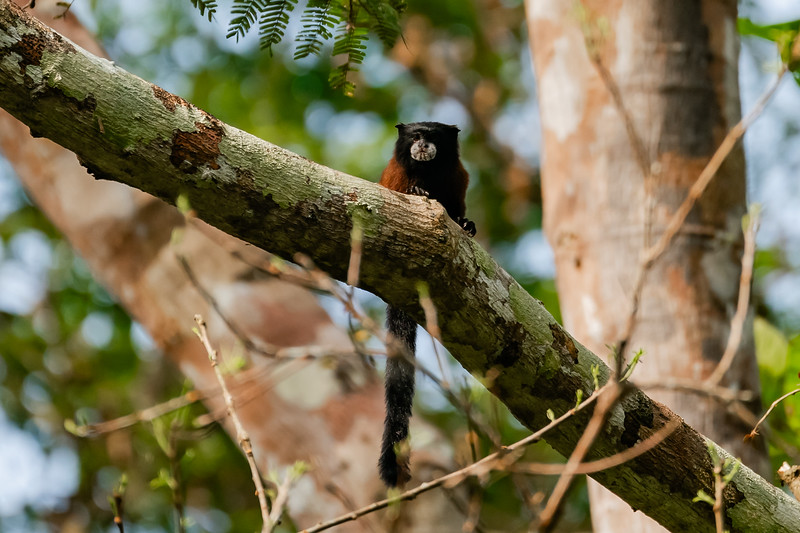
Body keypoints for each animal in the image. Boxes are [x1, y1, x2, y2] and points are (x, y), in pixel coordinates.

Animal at [377, 122, 476, 487]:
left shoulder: (458, 177)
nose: (421, 144)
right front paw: (419, 193)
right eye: (415, 135)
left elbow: (459, 210)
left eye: (432, 136)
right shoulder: (395, 175)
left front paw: (464, 223)